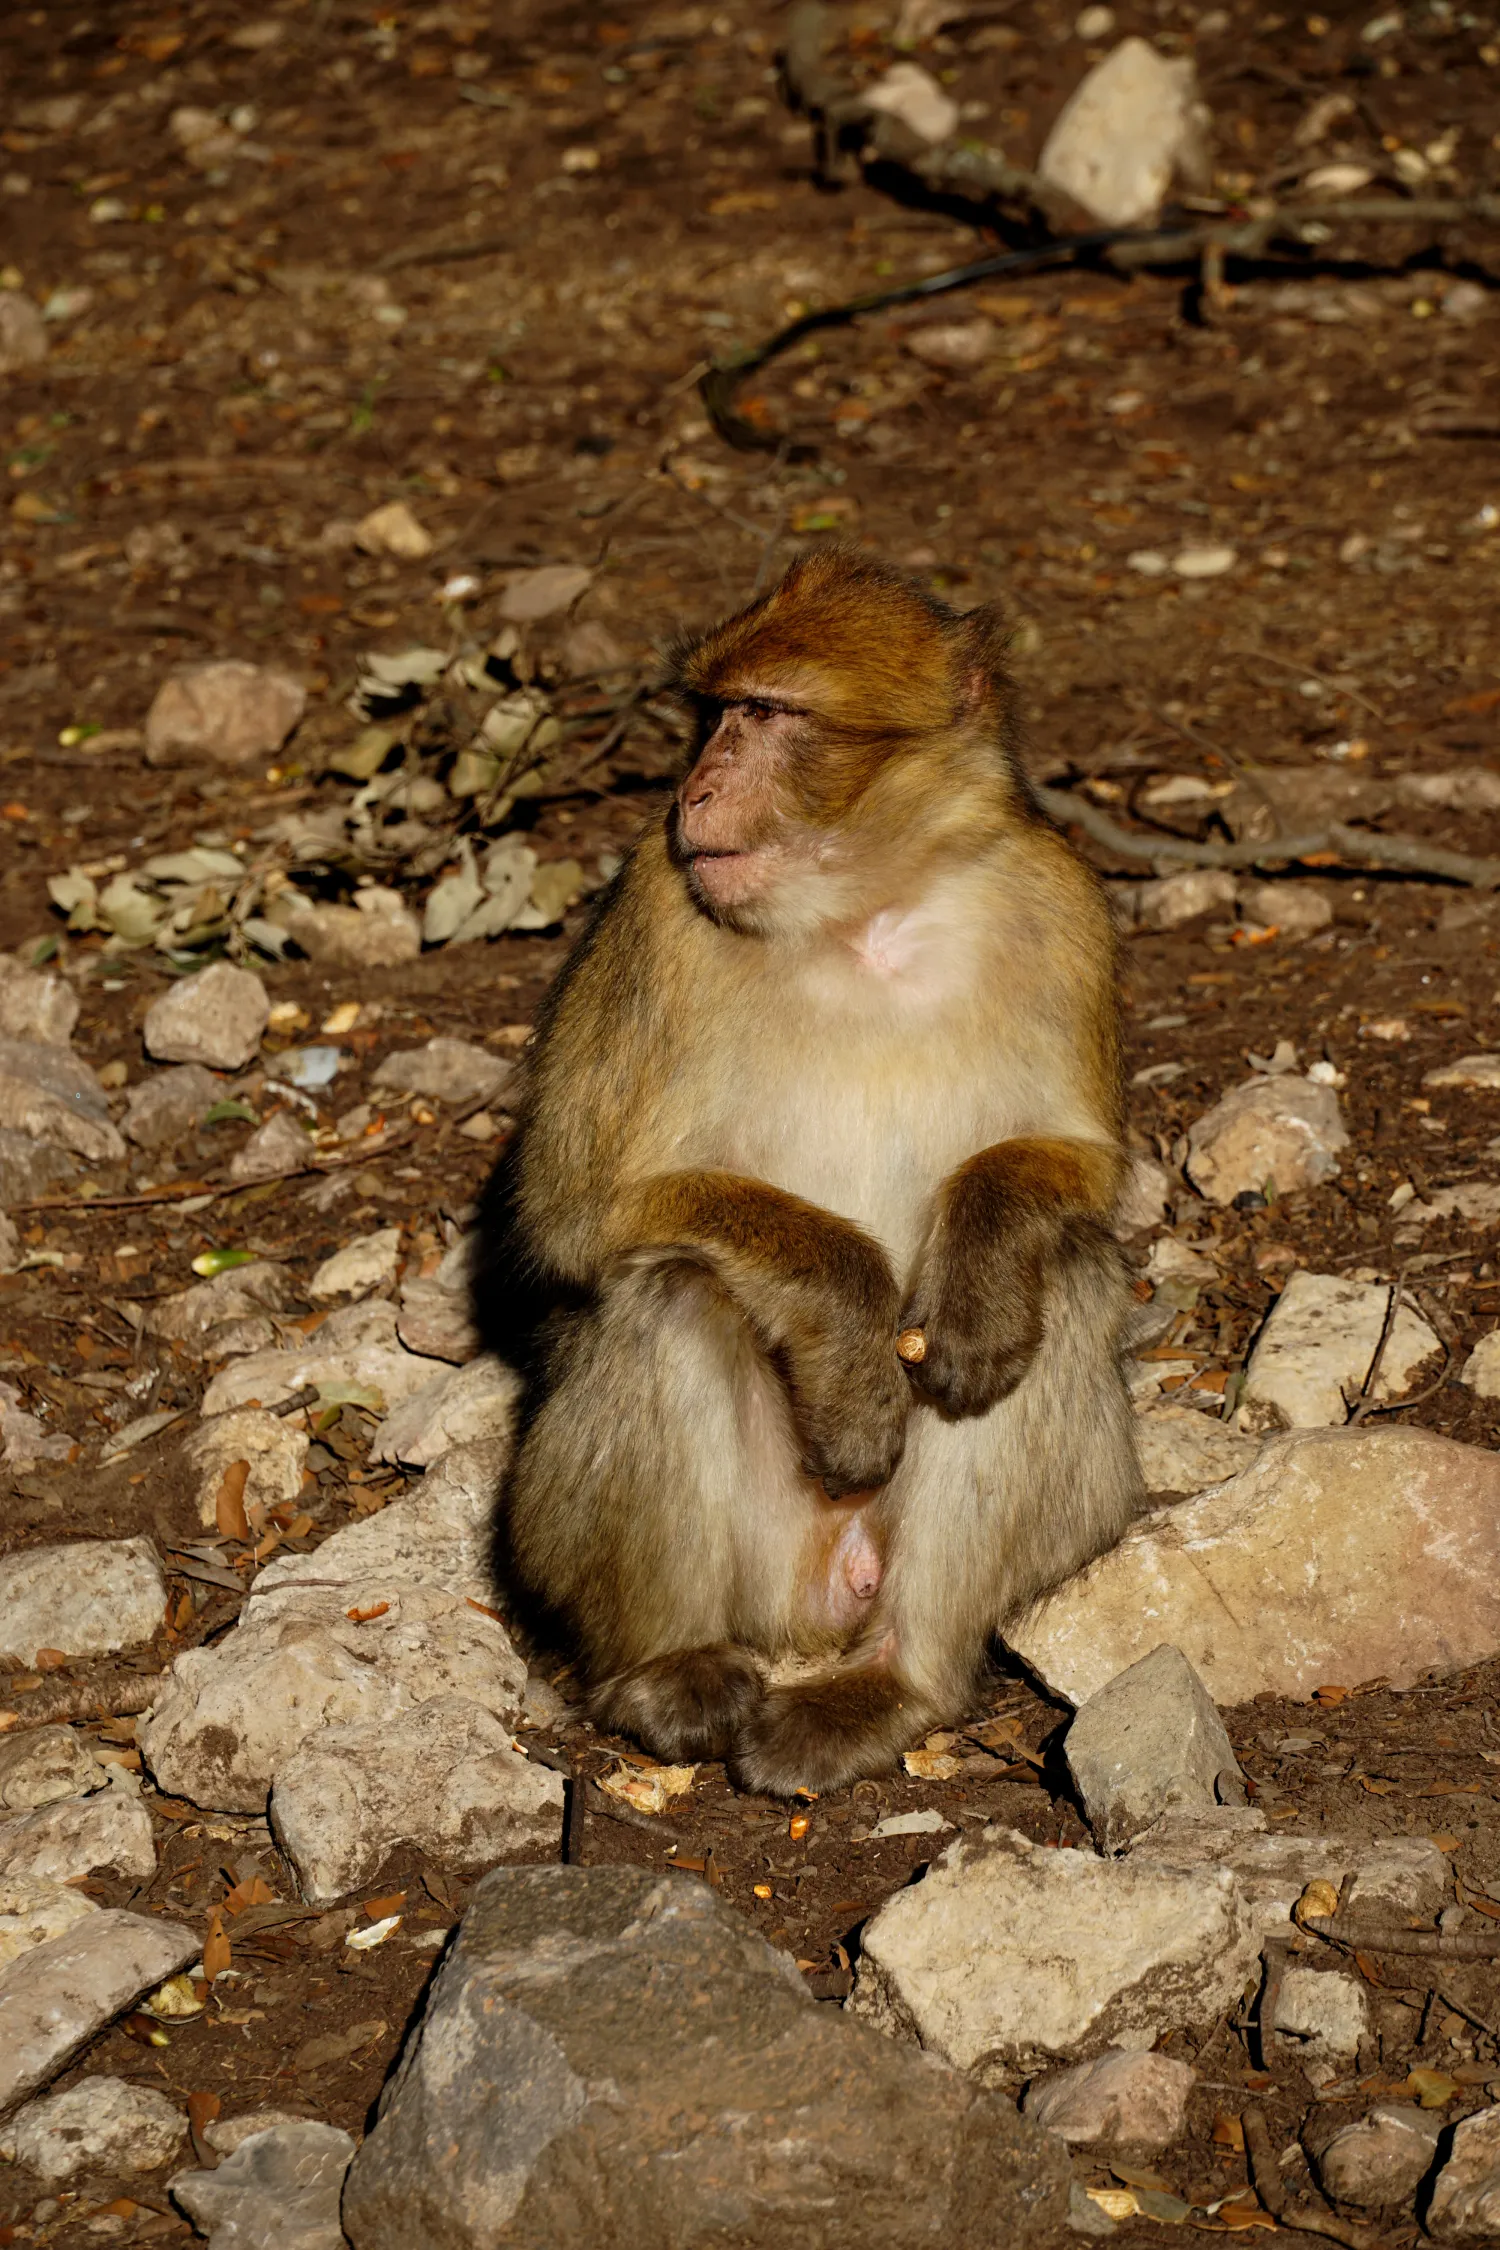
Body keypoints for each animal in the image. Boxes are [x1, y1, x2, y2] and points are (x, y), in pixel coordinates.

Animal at [486, 545, 1141, 1796]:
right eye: (713, 716)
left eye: (767, 715)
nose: (693, 793)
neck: (863, 913)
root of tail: (823, 1601)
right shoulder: (658, 913)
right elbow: (576, 1206)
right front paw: (851, 1338)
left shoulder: (1064, 906)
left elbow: (1085, 1174)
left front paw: (976, 1286)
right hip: (652, 1544)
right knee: (672, 1295)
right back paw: (671, 1672)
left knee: (1068, 1281)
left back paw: (895, 1682)